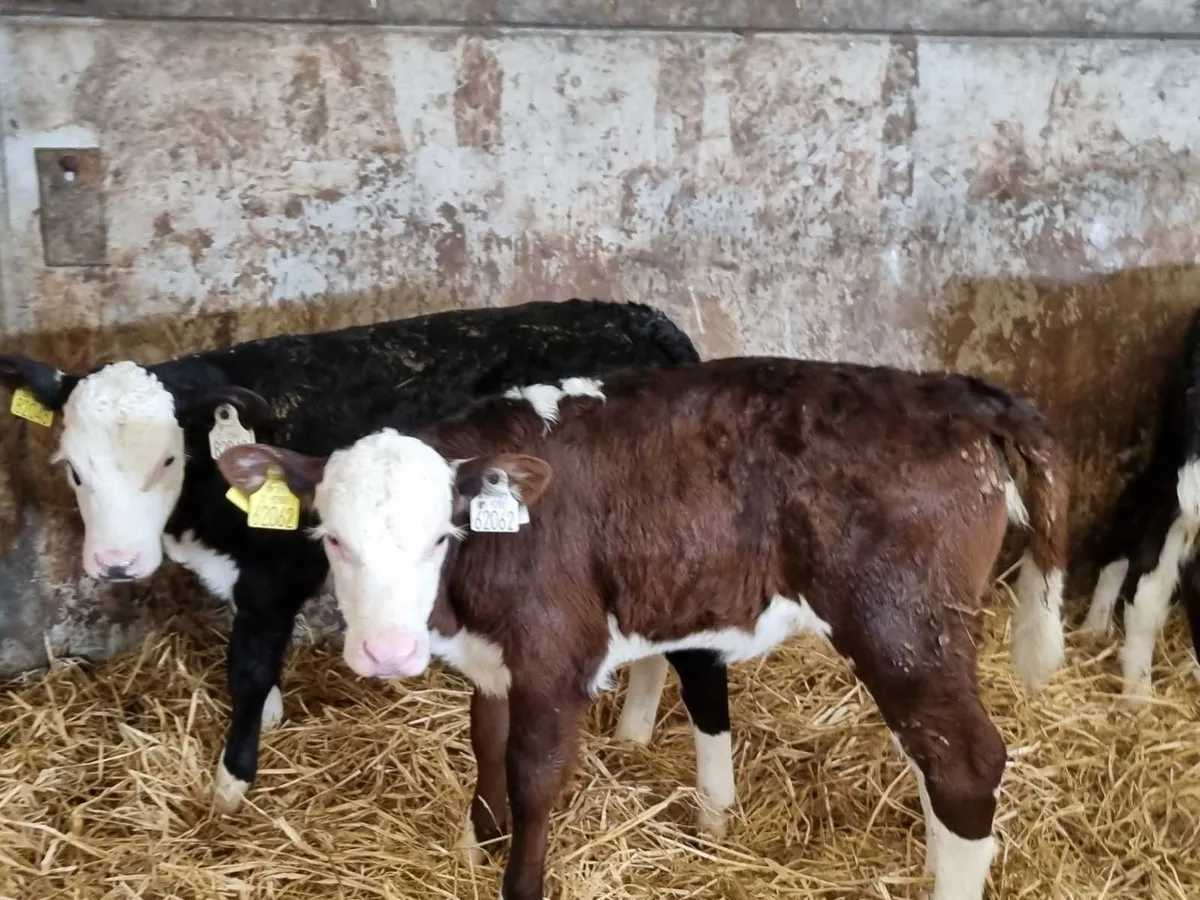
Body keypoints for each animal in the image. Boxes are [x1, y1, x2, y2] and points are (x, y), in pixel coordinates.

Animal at [0, 299, 734, 820]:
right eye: (73, 469)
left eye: (166, 460)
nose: (117, 563)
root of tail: (642, 318)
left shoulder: (275, 573)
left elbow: (249, 666)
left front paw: (231, 785)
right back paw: (634, 734)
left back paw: (709, 805)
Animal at [218, 356, 1069, 900]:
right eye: (331, 537)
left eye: (440, 537)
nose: (387, 651)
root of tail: (955, 393)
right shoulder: (495, 659)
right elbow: (484, 742)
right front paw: (473, 843)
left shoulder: (555, 655)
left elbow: (532, 778)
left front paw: (515, 875)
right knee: (936, 754)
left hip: (900, 622)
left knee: (966, 761)